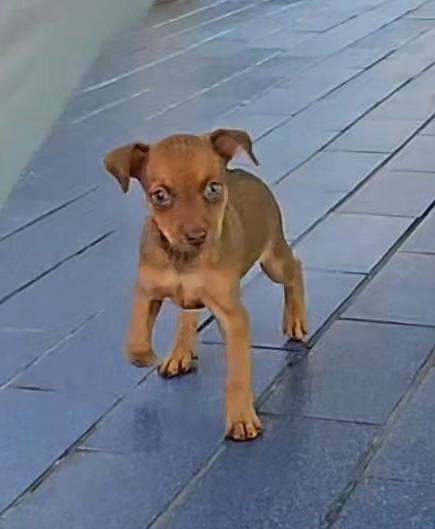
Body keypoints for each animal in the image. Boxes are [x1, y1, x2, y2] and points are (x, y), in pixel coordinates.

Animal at [103, 129, 307, 441]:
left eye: (213, 189)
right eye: (159, 196)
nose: (197, 236)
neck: (183, 259)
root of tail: (240, 172)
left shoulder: (233, 316)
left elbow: (237, 375)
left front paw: (241, 418)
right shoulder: (147, 289)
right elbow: (135, 340)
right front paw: (147, 356)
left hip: (273, 261)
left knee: (295, 268)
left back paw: (296, 320)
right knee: (187, 315)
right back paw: (179, 353)